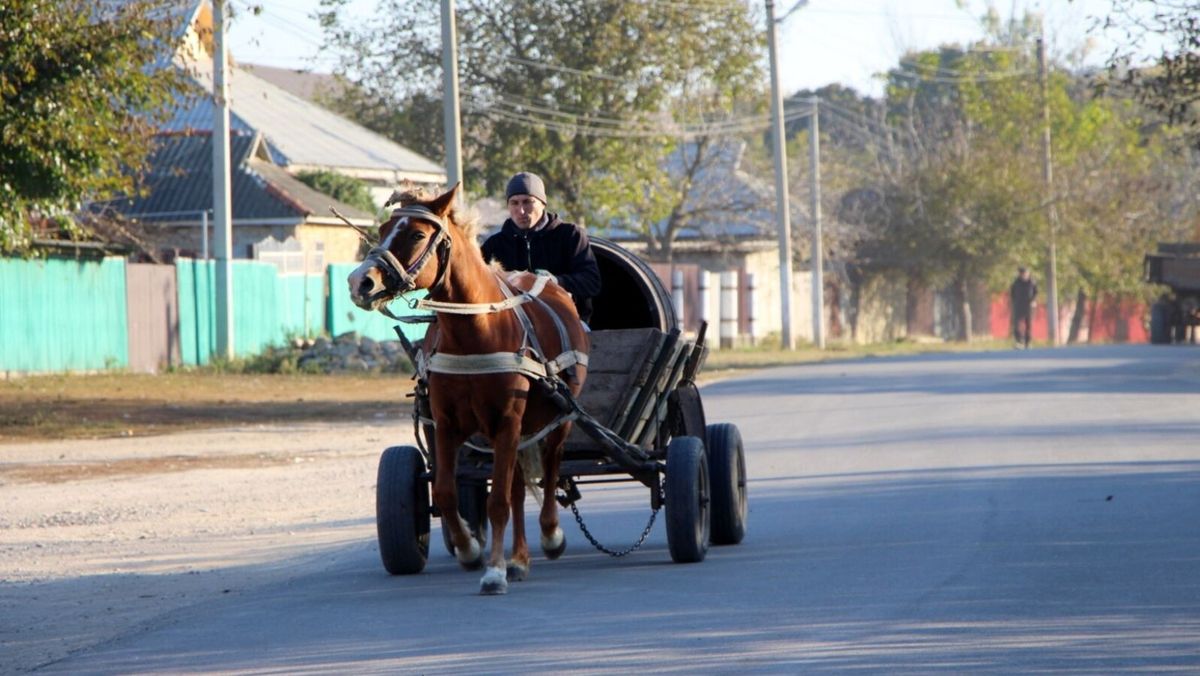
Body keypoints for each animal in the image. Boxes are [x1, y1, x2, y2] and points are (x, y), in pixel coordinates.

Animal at [345, 182, 588, 595]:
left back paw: (549, 537)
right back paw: (519, 559)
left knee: (551, 469)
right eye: (382, 230)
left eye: (417, 235)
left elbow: (498, 502)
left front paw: (494, 571)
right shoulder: (447, 423)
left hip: (555, 419)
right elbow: (447, 493)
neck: (478, 331)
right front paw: (470, 548)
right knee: (517, 487)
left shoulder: (507, 421)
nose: (361, 282)